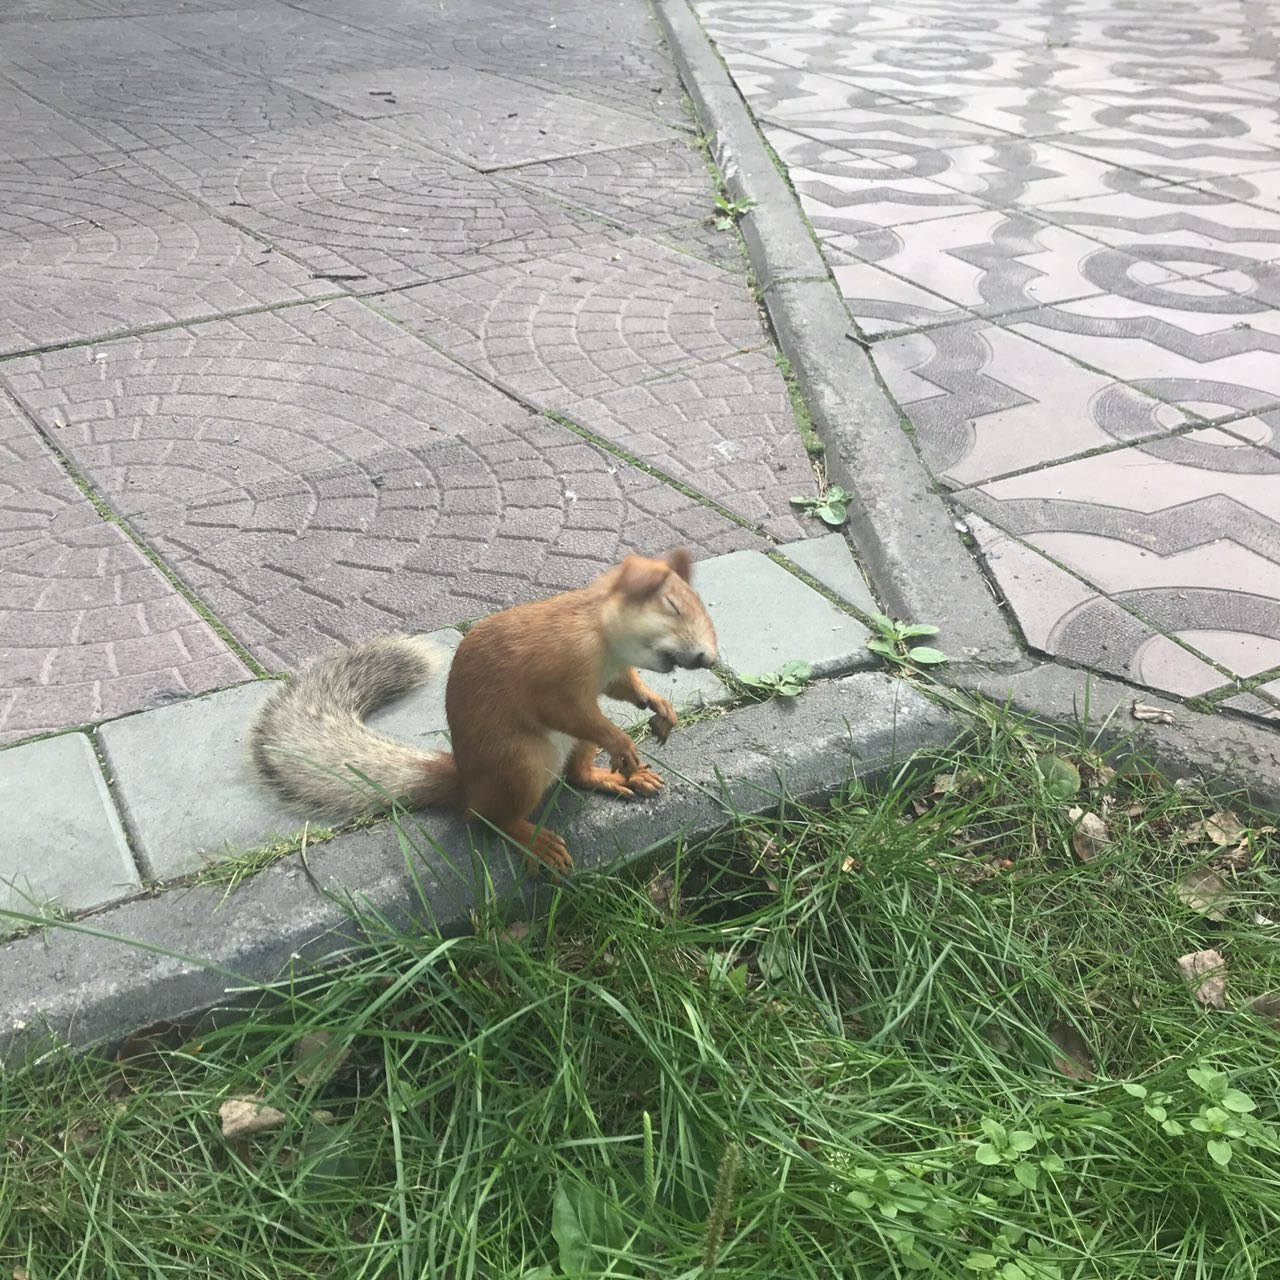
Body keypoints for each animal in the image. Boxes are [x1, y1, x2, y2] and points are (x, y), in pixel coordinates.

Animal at [244, 545, 716, 875]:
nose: (710, 659)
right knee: (489, 819)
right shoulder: (555, 672)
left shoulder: (613, 674)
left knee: (576, 775)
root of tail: (466, 783)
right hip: (521, 762)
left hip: (567, 751)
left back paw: (617, 778)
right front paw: (621, 743)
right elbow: (562, 709)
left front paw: (659, 707)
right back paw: (533, 838)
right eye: (671, 606)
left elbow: (626, 688)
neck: (600, 635)